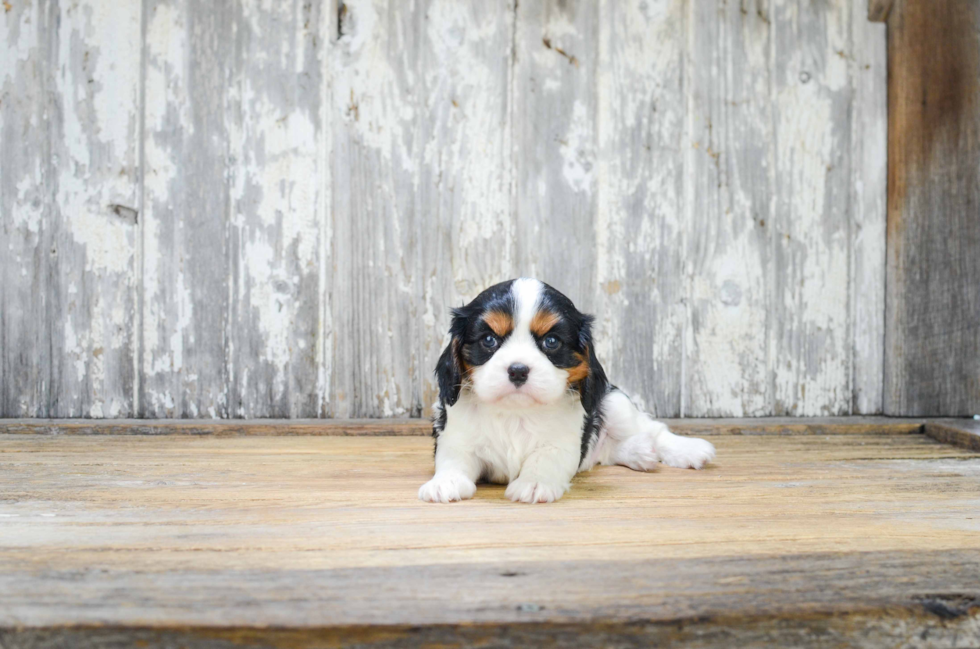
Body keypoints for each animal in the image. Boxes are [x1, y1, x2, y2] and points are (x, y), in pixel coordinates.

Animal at [418, 276, 716, 504]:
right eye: (489, 340)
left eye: (551, 342)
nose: (518, 370)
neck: (515, 412)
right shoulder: (456, 437)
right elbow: (453, 460)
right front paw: (445, 482)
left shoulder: (561, 444)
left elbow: (544, 459)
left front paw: (534, 483)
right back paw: (640, 453)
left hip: (615, 403)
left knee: (653, 430)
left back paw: (687, 449)